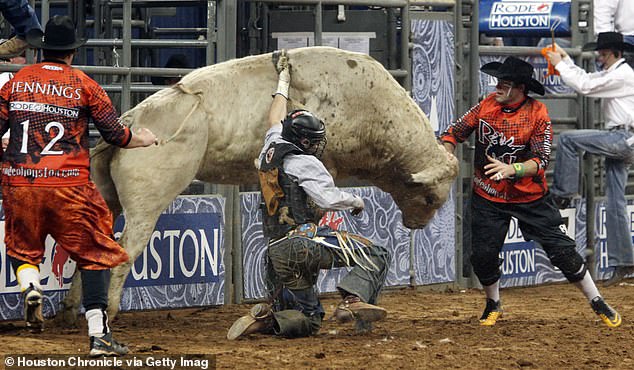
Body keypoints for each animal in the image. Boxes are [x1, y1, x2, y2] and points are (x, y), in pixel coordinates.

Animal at [59, 46, 454, 322]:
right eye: (430, 197)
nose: (417, 224)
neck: (370, 106)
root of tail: (128, 122)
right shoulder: (326, 165)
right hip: (147, 201)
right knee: (126, 248)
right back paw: (109, 310)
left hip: (106, 198)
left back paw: (70, 309)